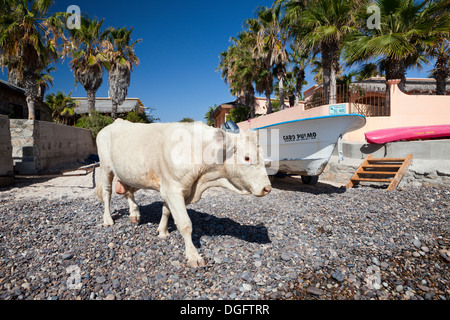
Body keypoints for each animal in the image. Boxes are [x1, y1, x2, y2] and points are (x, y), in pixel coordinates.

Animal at [95, 119, 270, 266]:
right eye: (247, 158)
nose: (267, 188)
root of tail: (114, 123)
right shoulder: (173, 189)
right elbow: (185, 224)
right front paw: (193, 256)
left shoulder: (171, 189)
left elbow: (166, 211)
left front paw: (162, 231)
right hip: (105, 168)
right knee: (107, 193)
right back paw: (108, 219)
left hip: (131, 174)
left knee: (128, 192)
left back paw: (134, 214)